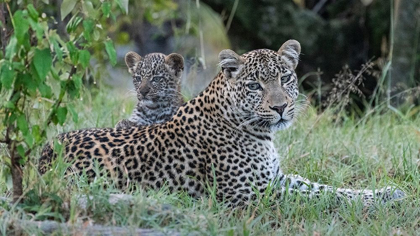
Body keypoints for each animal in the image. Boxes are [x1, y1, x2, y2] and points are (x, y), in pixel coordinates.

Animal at [39, 40, 404, 206]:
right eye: (255, 85)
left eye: (285, 78)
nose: (281, 107)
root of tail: (42, 152)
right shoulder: (250, 195)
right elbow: (320, 198)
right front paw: (375, 200)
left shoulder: (275, 179)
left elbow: (325, 188)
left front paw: (387, 192)